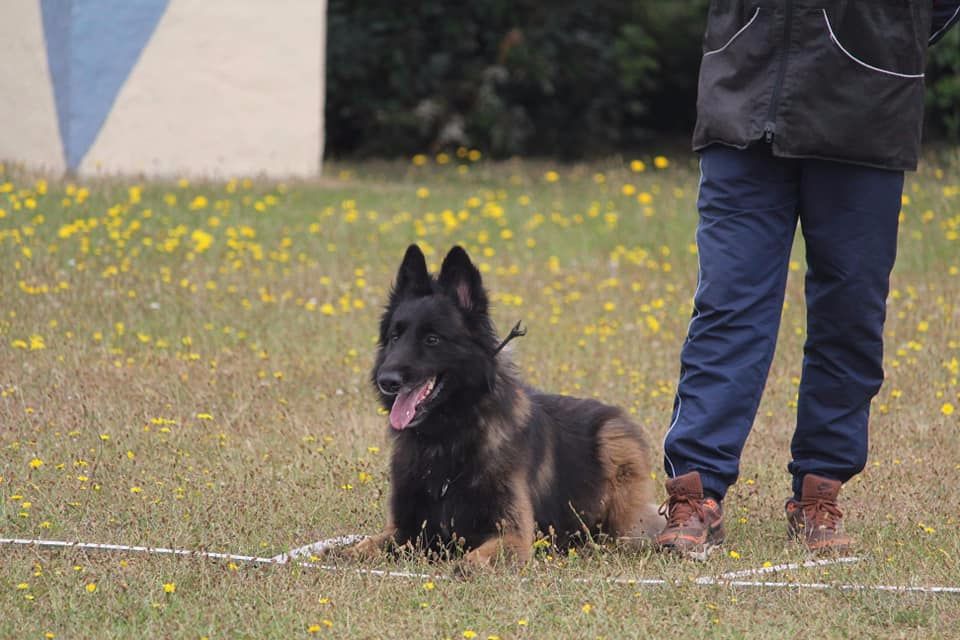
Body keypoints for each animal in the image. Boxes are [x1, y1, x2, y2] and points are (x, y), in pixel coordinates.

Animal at [348, 245, 664, 568]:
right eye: (395, 337)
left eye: (432, 339)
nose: (386, 380)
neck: (447, 439)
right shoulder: (404, 529)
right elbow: (360, 549)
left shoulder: (513, 535)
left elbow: (471, 561)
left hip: (614, 443)